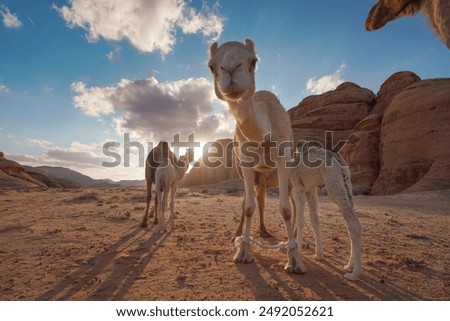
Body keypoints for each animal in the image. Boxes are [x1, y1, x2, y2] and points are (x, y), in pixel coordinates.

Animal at [208, 37, 306, 272]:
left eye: (253, 60)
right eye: (212, 66)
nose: (230, 70)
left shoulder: (283, 159)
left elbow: (286, 210)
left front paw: (294, 259)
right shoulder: (245, 164)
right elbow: (249, 207)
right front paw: (243, 251)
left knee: (293, 203)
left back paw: (289, 236)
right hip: (256, 174)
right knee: (255, 199)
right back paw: (251, 232)